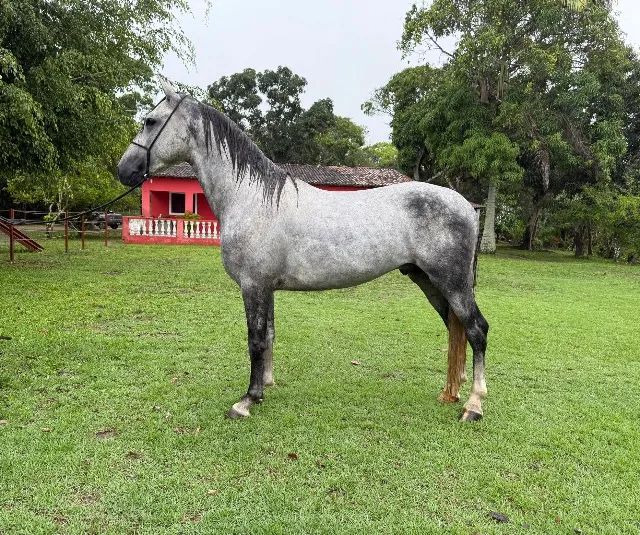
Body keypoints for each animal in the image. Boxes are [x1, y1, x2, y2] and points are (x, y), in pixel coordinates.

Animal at [117, 80, 489, 422]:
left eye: (150, 121)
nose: (124, 170)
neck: (252, 198)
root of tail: (468, 208)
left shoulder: (254, 286)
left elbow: (255, 340)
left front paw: (246, 400)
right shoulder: (265, 288)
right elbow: (268, 335)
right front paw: (265, 387)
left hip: (452, 283)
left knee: (476, 330)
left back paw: (473, 406)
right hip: (428, 280)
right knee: (455, 328)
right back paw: (450, 393)